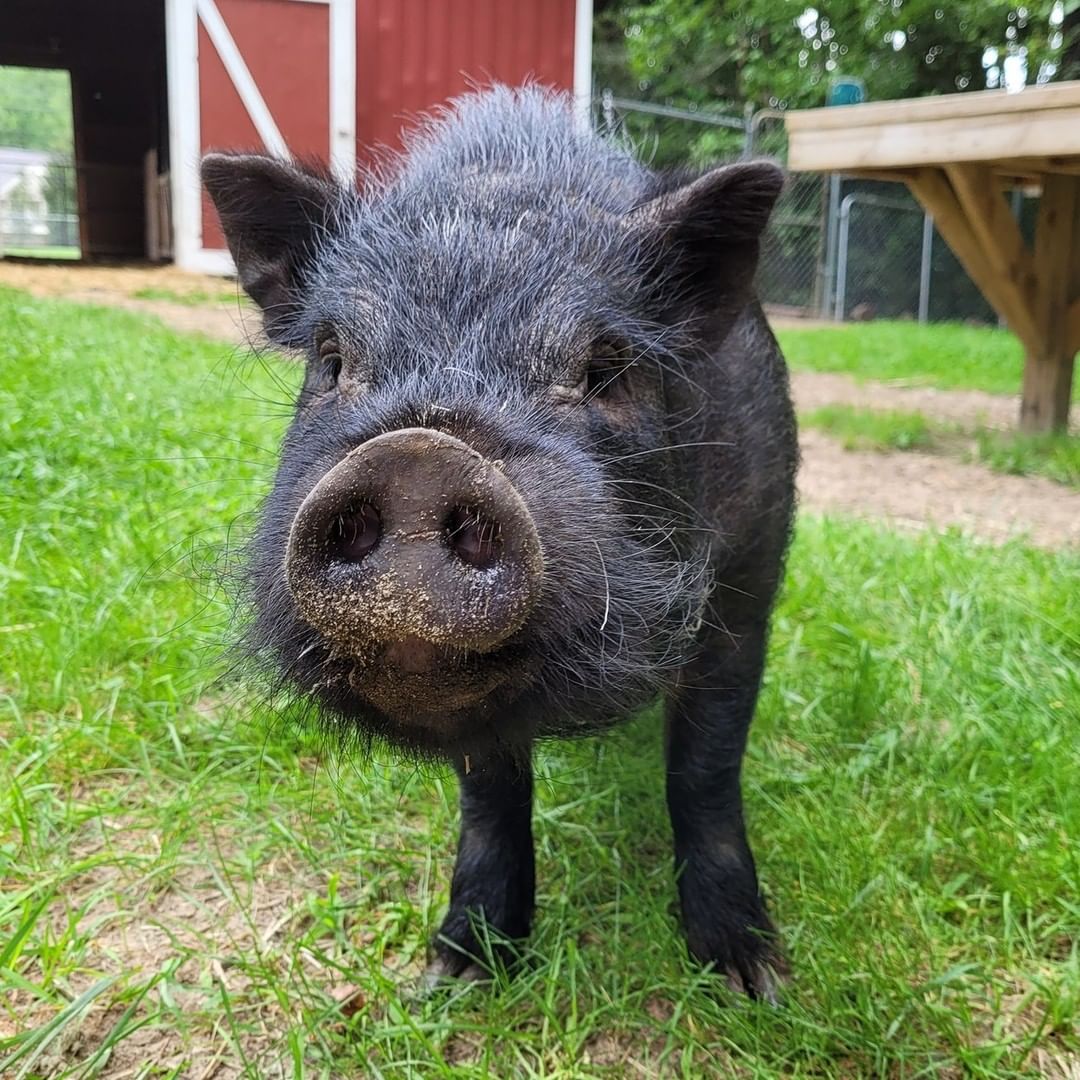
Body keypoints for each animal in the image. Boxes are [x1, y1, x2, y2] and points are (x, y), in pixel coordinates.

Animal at [203, 88, 799, 997]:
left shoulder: (746, 586)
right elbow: (489, 790)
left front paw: (751, 980)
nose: (418, 455)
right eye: (333, 358)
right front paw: (458, 971)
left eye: (605, 369)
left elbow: (705, 769)